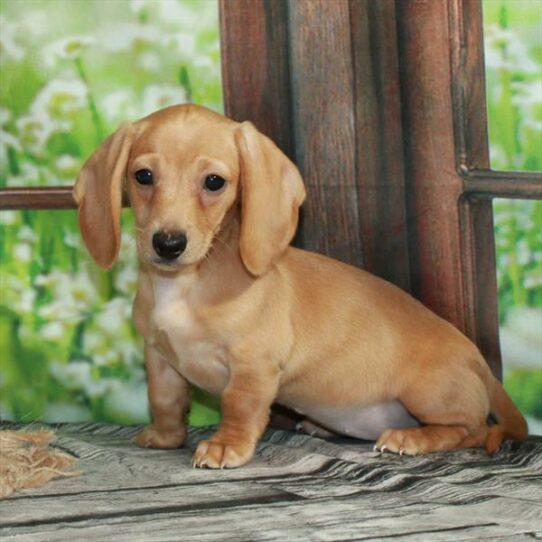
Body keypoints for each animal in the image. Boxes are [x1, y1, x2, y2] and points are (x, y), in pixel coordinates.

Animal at [74, 104, 528, 470]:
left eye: (215, 182)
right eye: (143, 176)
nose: (168, 244)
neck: (186, 285)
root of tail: (480, 363)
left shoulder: (254, 364)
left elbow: (238, 407)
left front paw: (226, 446)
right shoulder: (159, 356)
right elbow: (165, 401)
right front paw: (165, 437)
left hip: (427, 392)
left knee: (470, 429)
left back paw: (412, 438)